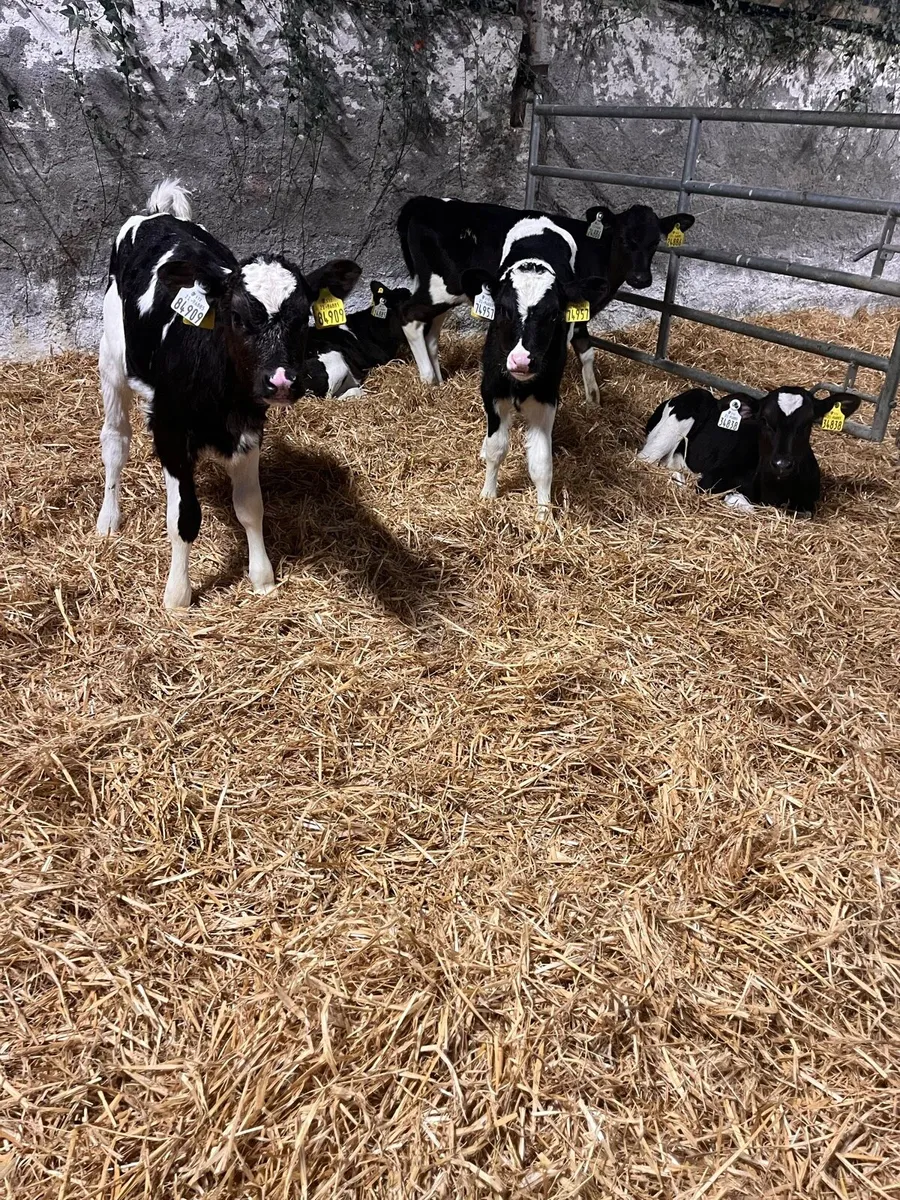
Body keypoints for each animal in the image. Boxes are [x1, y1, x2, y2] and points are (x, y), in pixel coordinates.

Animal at [96, 179, 360, 609]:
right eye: (236, 316)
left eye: (302, 318)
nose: (282, 381)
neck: (220, 399)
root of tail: (157, 214)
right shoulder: (170, 430)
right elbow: (183, 518)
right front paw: (177, 596)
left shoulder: (249, 427)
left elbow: (251, 507)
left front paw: (262, 577)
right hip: (112, 359)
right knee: (115, 442)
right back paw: (108, 519)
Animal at [396, 195, 693, 401]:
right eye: (623, 239)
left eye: (655, 242)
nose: (641, 278)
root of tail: (426, 202)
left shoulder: (580, 309)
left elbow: (587, 351)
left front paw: (593, 400)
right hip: (440, 288)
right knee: (409, 316)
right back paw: (427, 380)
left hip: (445, 292)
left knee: (431, 334)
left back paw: (439, 381)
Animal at [459, 215, 606, 517]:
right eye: (503, 310)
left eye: (553, 315)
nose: (521, 360)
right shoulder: (491, 389)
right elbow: (496, 447)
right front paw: (488, 495)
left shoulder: (547, 397)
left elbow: (541, 462)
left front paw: (543, 513)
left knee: (585, 348)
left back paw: (592, 395)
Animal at [638, 385, 861, 515]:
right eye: (764, 420)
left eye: (807, 423)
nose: (782, 464)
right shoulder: (710, 481)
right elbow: (745, 505)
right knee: (644, 461)